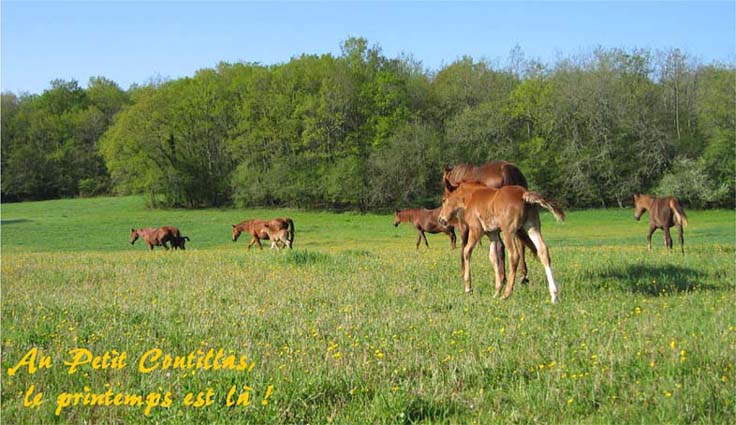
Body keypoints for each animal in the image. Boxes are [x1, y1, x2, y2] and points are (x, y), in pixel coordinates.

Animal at [436, 181, 564, 304]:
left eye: (444, 200)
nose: (441, 219)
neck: (472, 196)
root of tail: (523, 194)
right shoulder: (492, 233)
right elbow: (493, 257)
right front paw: (497, 291)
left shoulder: (476, 229)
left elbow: (467, 251)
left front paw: (468, 289)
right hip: (532, 227)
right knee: (543, 251)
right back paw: (554, 296)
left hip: (508, 230)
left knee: (514, 255)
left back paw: (506, 294)